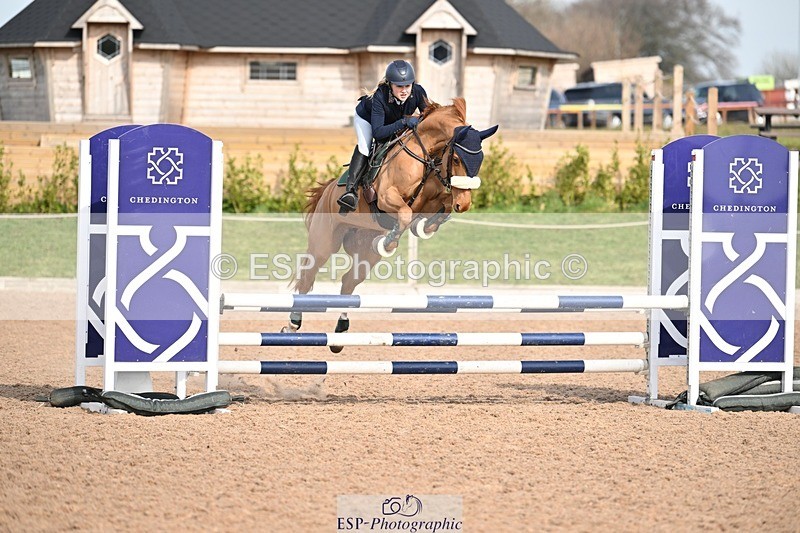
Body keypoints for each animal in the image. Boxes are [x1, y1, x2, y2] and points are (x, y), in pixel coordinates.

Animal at [285, 97, 498, 347]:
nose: (463, 204)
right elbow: (404, 213)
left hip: (365, 252)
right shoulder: (387, 197)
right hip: (324, 244)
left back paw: (339, 333)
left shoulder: (431, 200)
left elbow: (442, 207)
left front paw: (425, 227)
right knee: (307, 278)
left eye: (480, 160)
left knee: (349, 282)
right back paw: (293, 324)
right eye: (455, 159)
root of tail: (327, 190)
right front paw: (390, 242)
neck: (425, 155)